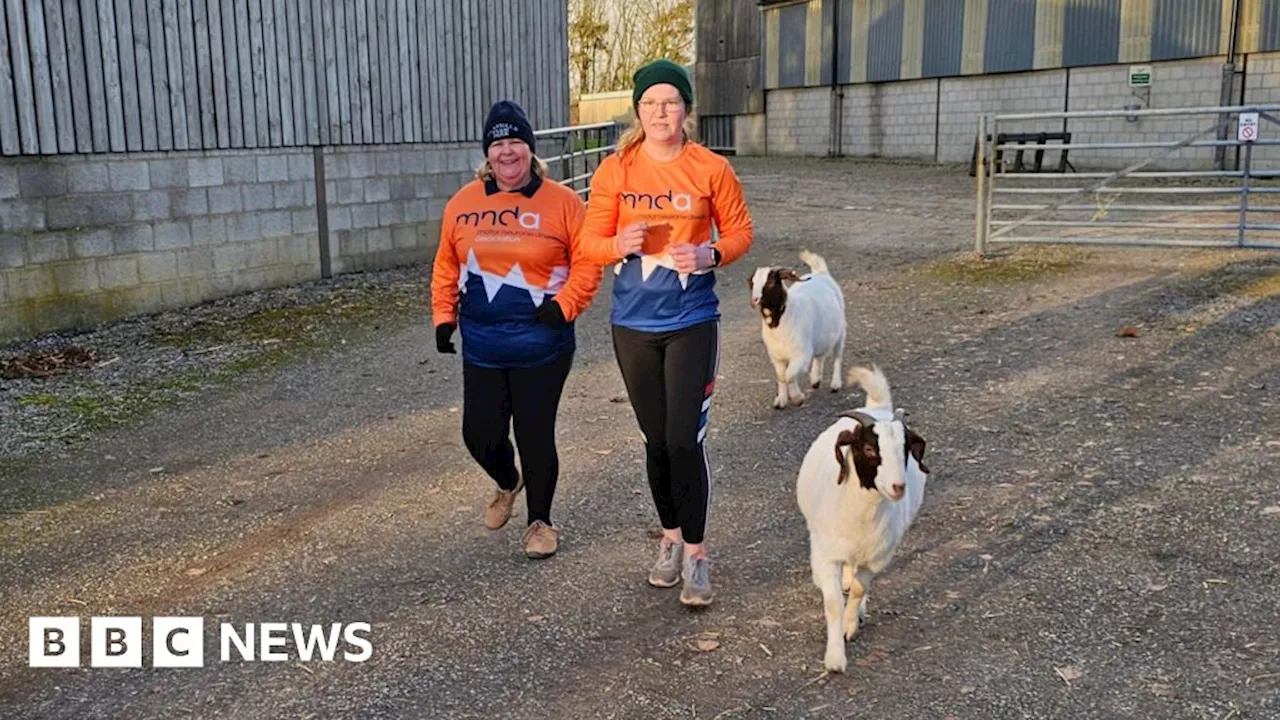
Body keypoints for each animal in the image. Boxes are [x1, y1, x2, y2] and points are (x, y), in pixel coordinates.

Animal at [747, 248, 844, 407]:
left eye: (771, 282)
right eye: (752, 282)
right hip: (821, 336)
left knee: (837, 357)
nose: (754, 301)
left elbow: (789, 375)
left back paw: (836, 384)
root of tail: (820, 273)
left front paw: (797, 397)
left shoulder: (801, 355)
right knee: (820, 356)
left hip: (841, 333)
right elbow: (781, 376)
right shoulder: (777, 357)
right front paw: (781, 400)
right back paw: (815, 379)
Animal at [788, 363, 931, 671]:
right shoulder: (826, 555)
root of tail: (878, 406)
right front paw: (835, 658)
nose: (898, 487)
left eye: (905, 449)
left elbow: (857, 590)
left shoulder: (876, 559)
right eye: (869, 448)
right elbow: (833, 603)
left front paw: (850, 626)